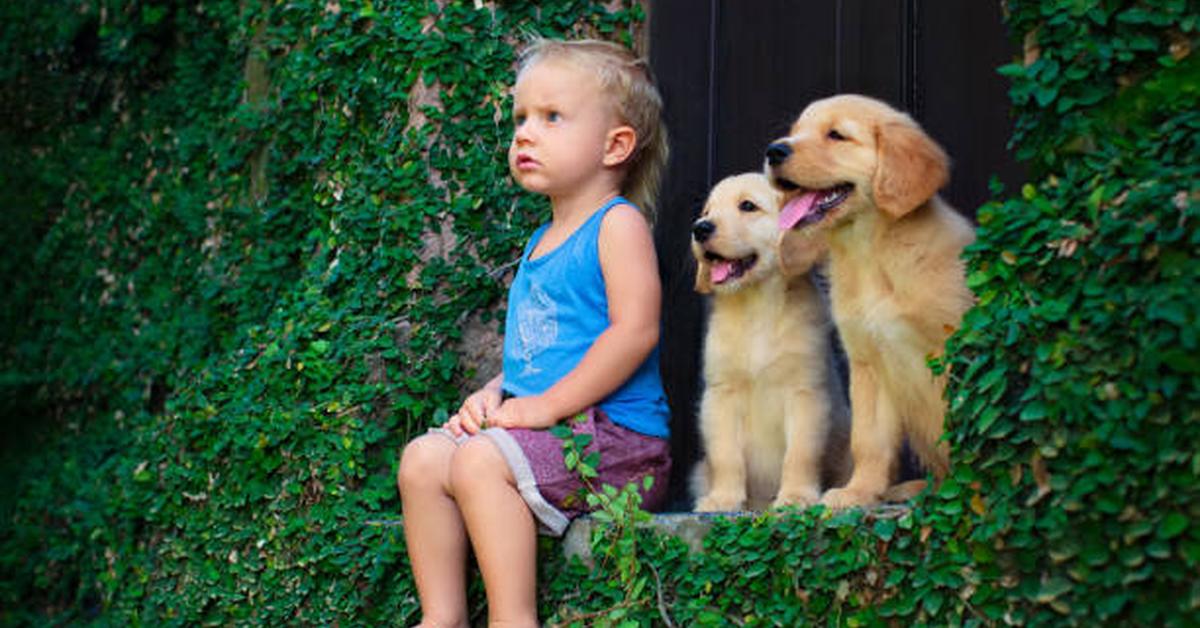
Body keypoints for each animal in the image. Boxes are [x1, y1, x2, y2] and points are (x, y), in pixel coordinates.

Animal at [691, 171, 849, 511]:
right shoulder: (721, 394)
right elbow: (726, 456)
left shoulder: (806, 393)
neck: (756, 306)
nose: (700, 228)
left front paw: (796, 496)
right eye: (707, 211)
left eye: (747, 206)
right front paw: (723, 499)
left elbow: (800, 454)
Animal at [763, 94, 979, 511]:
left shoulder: (957, 349)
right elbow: (868, 441)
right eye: (795, 130)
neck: (870, 255)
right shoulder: (869, 363)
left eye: (836, 135)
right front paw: (858, 492)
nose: (774, 150)